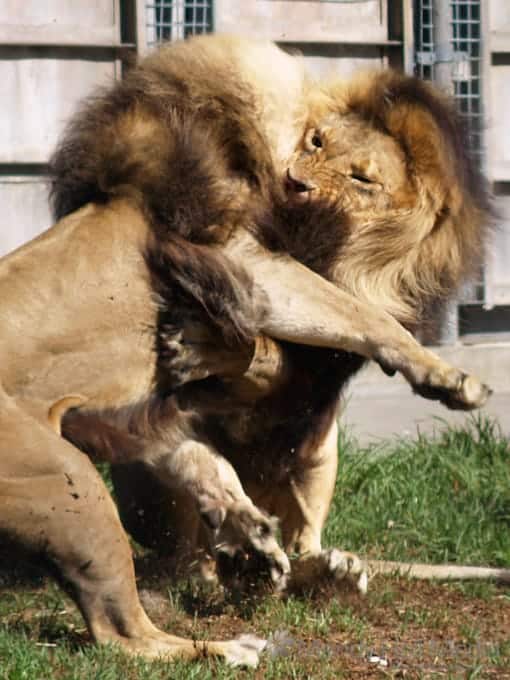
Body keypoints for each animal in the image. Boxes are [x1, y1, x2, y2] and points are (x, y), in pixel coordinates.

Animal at [0, 35, 504, 667]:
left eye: (362, 178)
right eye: (316, 142)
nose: (298, 183)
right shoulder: (252, 266)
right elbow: (359, 314)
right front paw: (450, 379)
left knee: (288, 535)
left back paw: (305, 567)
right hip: (69, 484)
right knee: (124, 634)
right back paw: (234, 642)